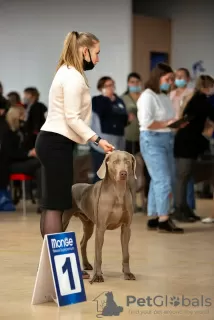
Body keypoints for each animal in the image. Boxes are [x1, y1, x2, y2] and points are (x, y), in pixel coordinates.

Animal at [61, 151, 136, 284]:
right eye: (115, 161)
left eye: (127, 161)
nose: (123, 173)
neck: (118, 192)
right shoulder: (101, 228)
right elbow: (98, 254)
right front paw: (97, 276)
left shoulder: (126, 228)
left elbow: (126, 254)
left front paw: (127, 273)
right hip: (64, 221)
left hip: (88, 225)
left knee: (82, 242)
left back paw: (86, 264)